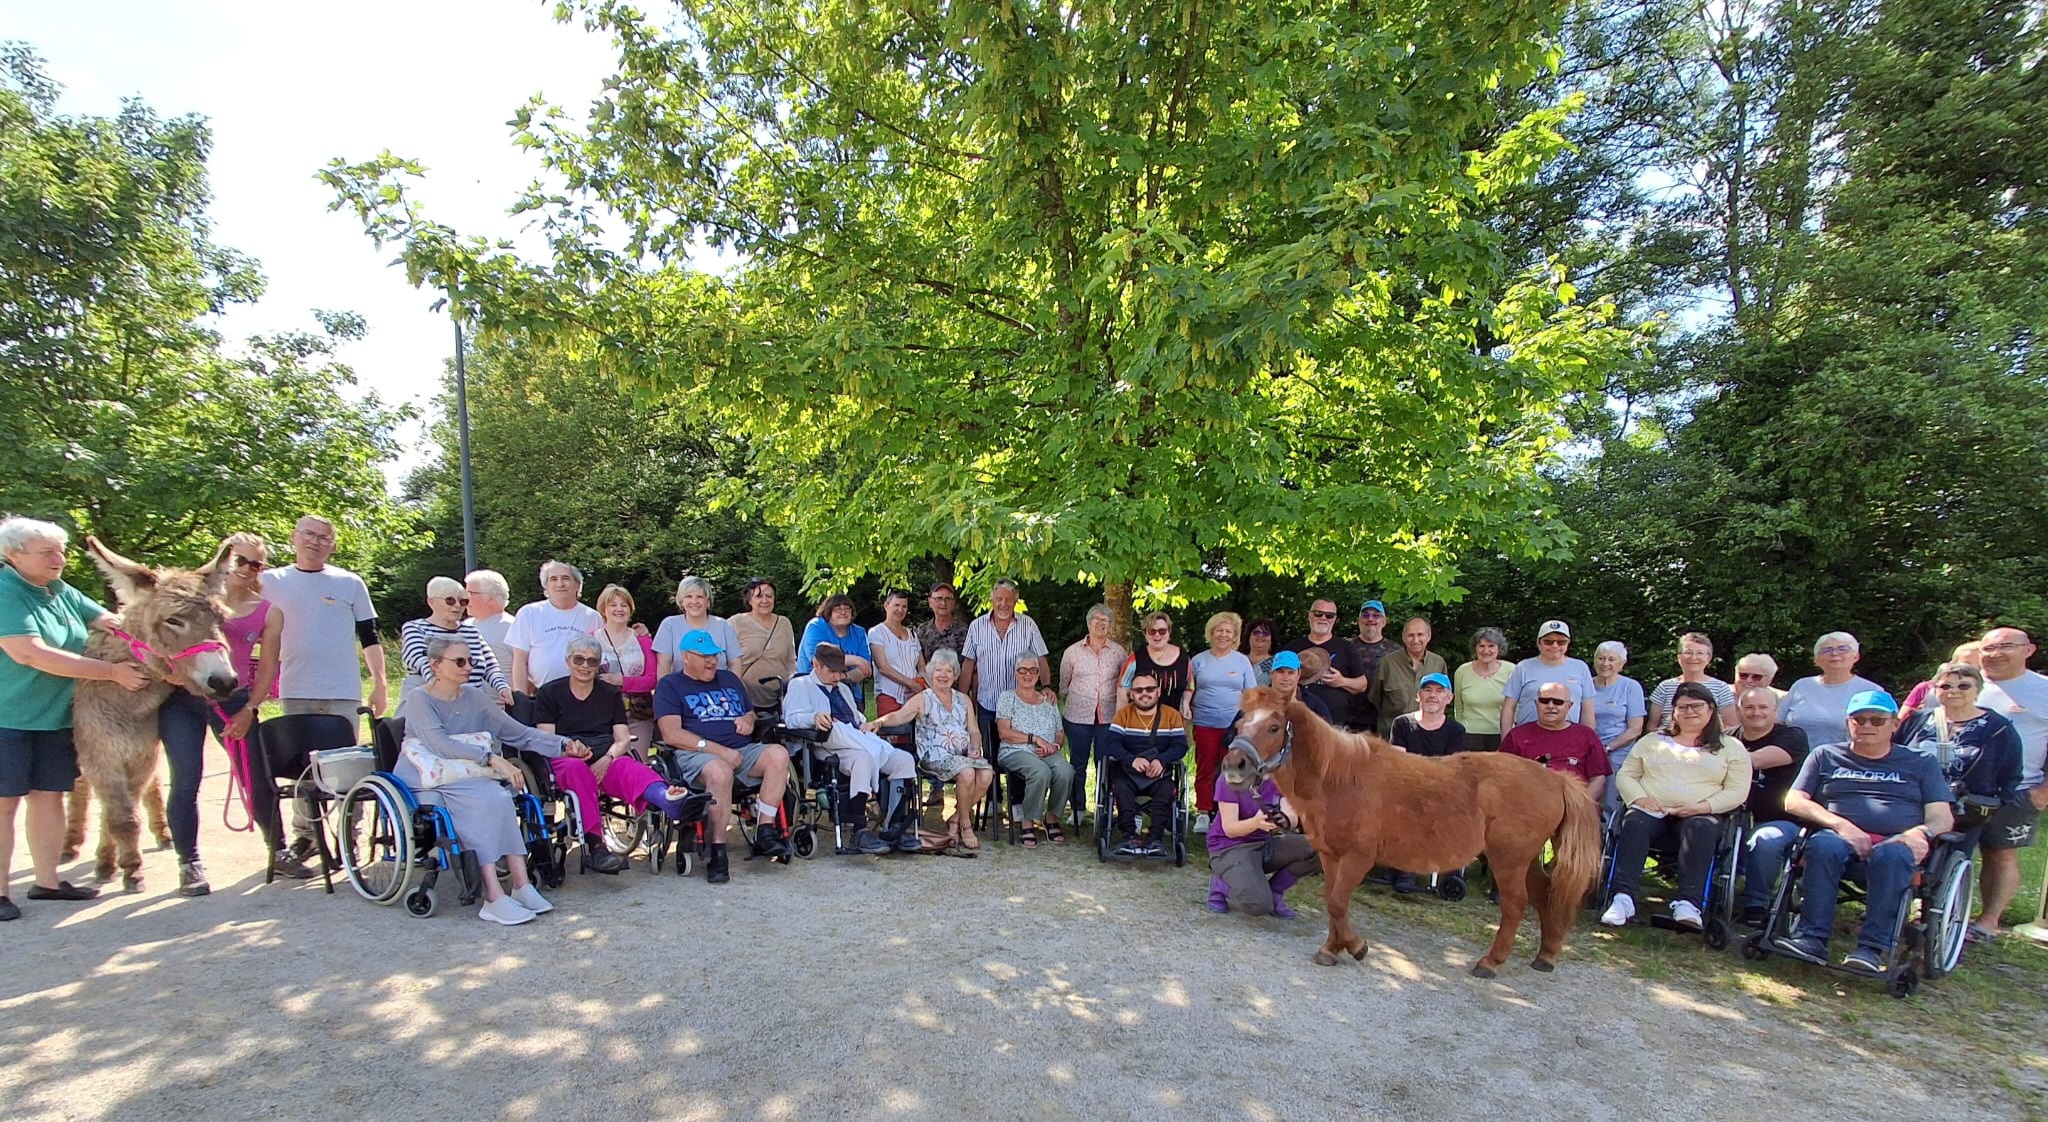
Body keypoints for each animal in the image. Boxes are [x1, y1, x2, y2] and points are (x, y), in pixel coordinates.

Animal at [70, 537, 236, 891]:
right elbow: (121, 817)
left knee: (150, 789)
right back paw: (70, 845)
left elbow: (123, 813)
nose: (224, 682)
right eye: (174, 620)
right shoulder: (101, 756)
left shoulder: (141, 753)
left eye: (220, 620)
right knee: (79, 793)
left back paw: (159, 835)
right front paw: (130, 870)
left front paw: (118, 864)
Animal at [1221, 687, 1602, 978]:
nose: (1234, 765)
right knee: (1545, 895)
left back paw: (1490, 963)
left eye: (1274, 727)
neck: (1340, 778)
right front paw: (1332, 949)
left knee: (1515, 907)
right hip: (1525, 861)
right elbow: (1333, 904)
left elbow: (1337, 902)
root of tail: (1556, 779)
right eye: (1241, 721)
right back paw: (1546, 955)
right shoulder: (1330, 856)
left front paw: (1356, 947)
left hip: (1508, 862)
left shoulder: (1358, 858)